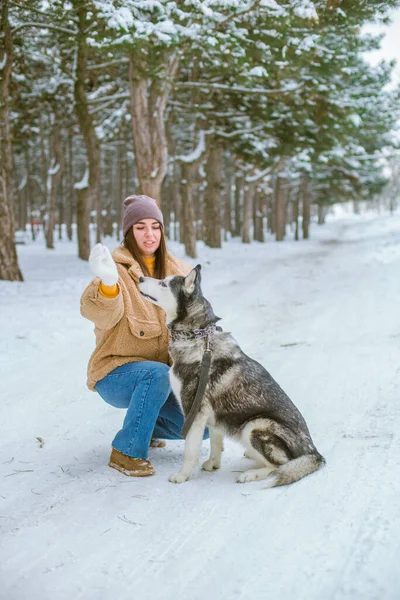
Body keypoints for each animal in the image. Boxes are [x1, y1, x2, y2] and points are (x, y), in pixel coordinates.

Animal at [138, 268, 324, 488]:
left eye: (163, 284)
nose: (140, 277)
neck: (196, 336)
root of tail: (314, 452)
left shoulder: (195, 412)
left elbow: (190, 452)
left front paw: (182, 476)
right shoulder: (211, 416)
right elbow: (215, 443)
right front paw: (213, 464)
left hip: (255, 425)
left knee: (278, 466)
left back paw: (250, 474)